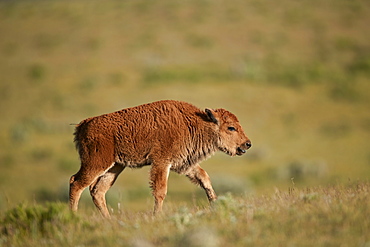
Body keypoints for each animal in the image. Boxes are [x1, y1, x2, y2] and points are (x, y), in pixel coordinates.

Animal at [70, 99, 251, 217]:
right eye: (231, 128)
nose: (247, 144)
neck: (192, 123)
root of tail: (84, 124)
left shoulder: (184, 163)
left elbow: (204, 178)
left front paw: (215, 203)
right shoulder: (162, 163)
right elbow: (160, 191)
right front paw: (157, 215)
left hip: (115, 166)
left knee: (97, 190)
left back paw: (109, 220)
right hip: (96, 163)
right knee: (76, 183)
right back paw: (73, 217)